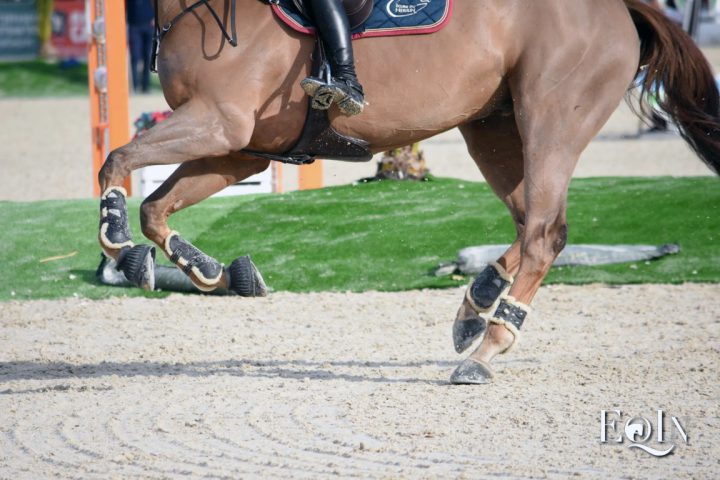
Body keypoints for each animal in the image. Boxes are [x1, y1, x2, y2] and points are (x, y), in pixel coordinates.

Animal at [97, 0, 720, 384]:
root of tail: (622, 9)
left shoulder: (219, 124)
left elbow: (115, 162)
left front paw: (115, 237)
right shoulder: (238, 147)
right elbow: (154, 205)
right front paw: (202, 268)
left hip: (551, 122)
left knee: (546, 233)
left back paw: (489, 347)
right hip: (492, 129)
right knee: (530, 224)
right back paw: (476, 305)